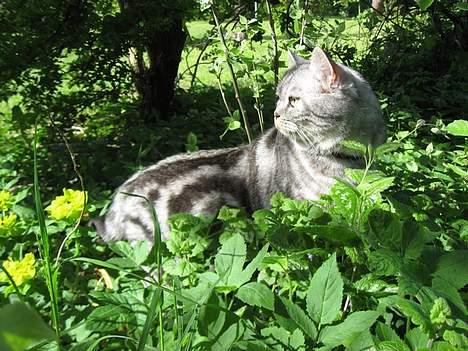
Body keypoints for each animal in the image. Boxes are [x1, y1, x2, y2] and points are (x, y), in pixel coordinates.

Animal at [93, 47, 386, 242]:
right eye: (278, 98)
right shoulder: (313, 213)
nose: (275, 114)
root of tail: (115, 207)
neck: (349, 159)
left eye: (293, 100)